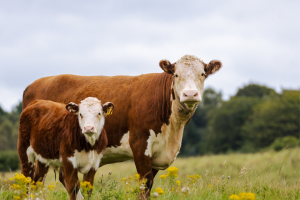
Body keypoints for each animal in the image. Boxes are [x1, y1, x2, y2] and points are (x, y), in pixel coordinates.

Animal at [22, 54, 221, 197]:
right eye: (176, 74)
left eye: (202, 74)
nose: (190, 94)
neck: (172, 131)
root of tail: (35, 83)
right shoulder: (140, 145)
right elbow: (145, 185)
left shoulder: (158, 155)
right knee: (32, 181)